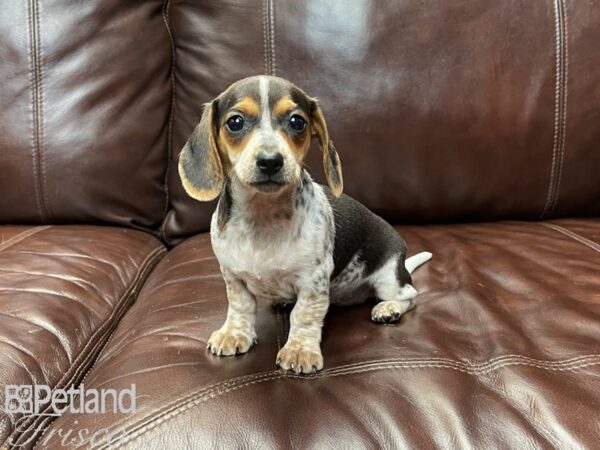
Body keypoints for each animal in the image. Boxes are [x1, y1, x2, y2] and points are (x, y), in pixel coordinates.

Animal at [178, 75, 432, 374]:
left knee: (410, 296)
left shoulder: (314, 281)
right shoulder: (233, 276)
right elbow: (240, 307)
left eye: (297, 122)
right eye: (235, 122)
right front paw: (234, 333)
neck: (262, 217)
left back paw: (388, 308)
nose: (270, 161)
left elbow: (304, 316)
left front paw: (299, 350)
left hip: (389, 278)